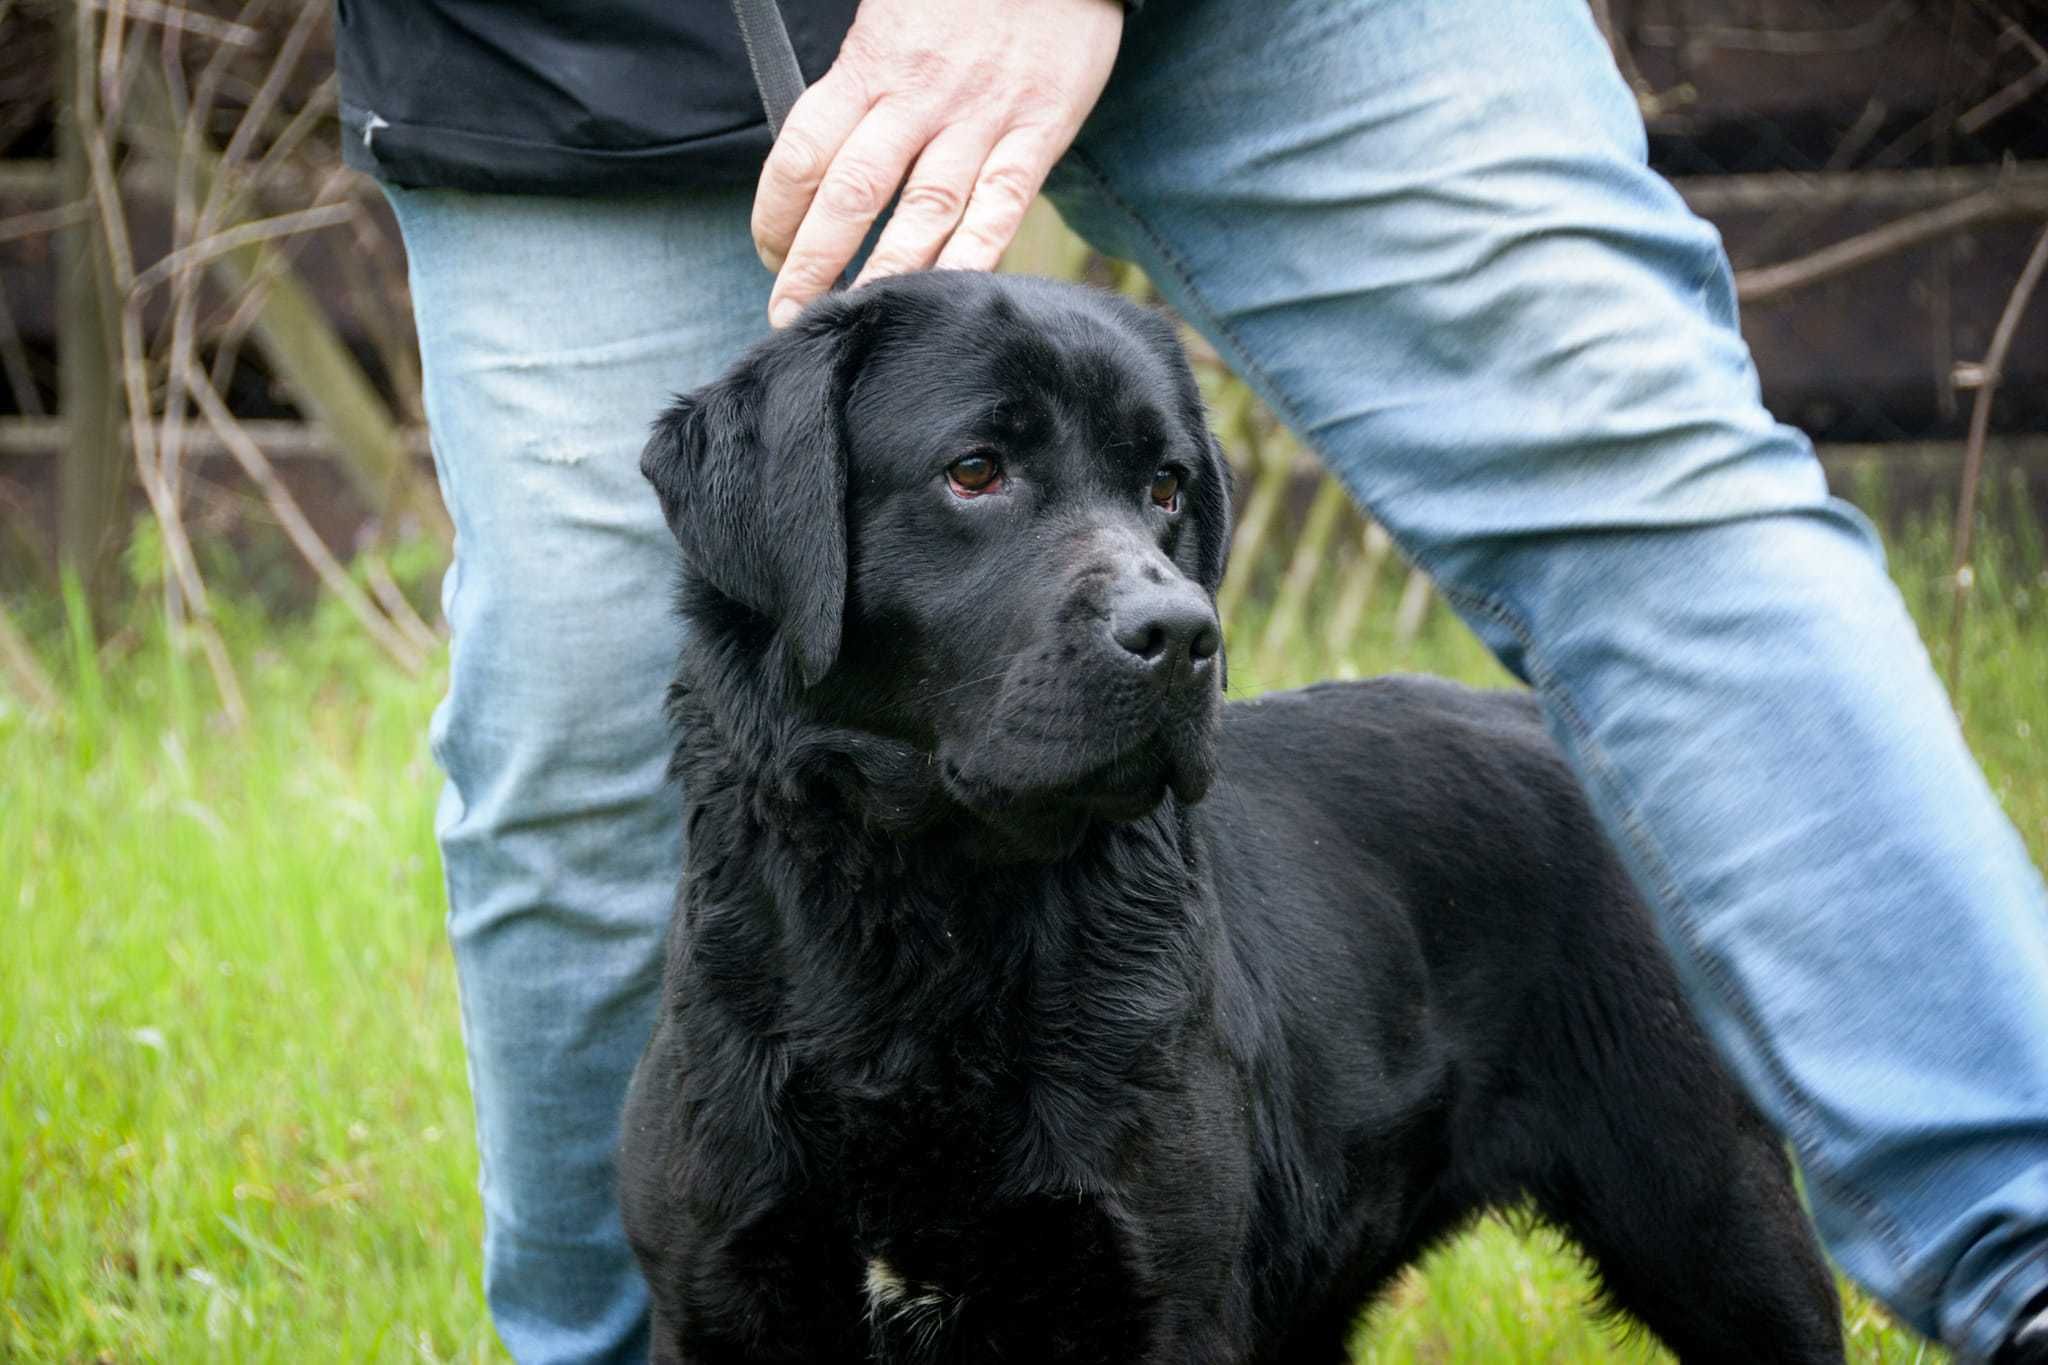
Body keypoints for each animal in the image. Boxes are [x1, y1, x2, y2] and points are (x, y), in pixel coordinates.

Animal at [614, 272, 1851, 1358]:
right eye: (973, 471)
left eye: (1164, 486)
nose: (1179, 634)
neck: (934, 923)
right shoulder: (719, 1293)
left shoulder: (1163, 1290)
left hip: (1713, 1218)